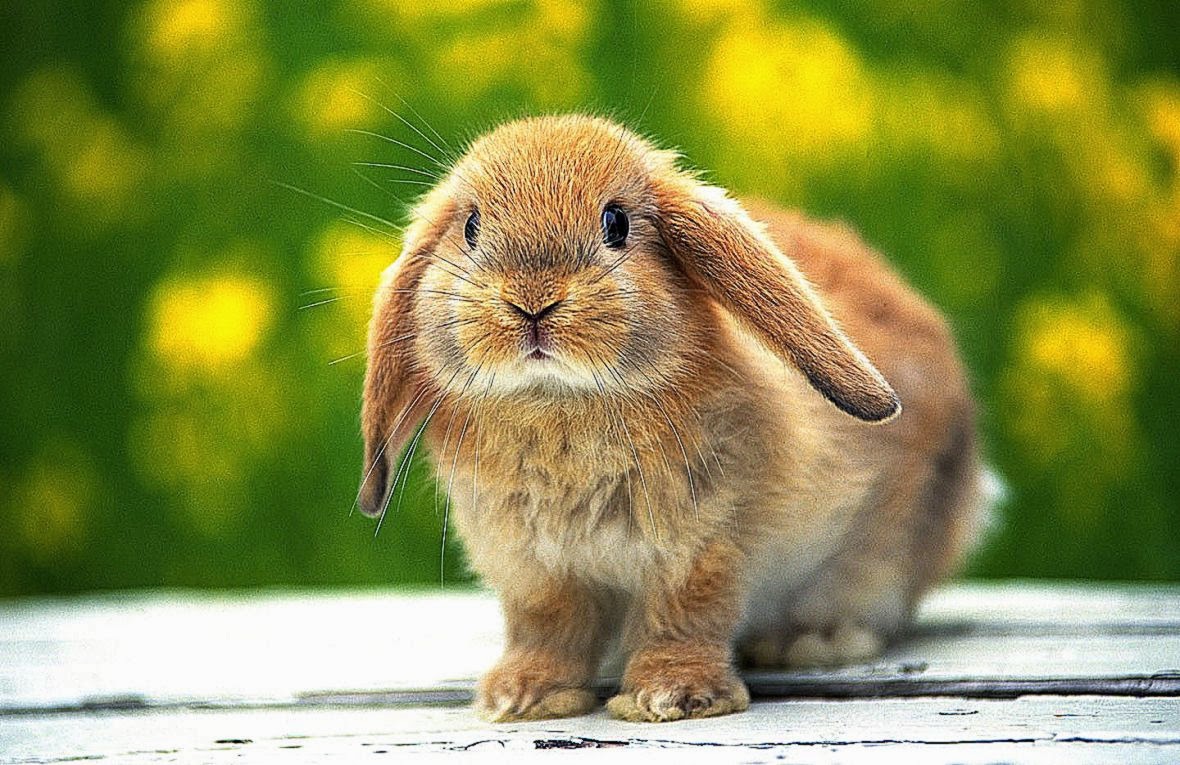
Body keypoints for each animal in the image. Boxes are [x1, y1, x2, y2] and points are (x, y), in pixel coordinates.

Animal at [357, 114, 992, 723]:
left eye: (616, 223)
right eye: (470, 227)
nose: (532, 301)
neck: (560, 401)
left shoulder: (702, 544)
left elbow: (684, 615)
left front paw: (670, 697)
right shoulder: (533, 567)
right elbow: (547, 627)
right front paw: (521, 698)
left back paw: (813, 642)